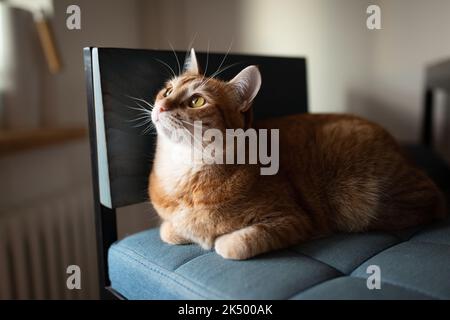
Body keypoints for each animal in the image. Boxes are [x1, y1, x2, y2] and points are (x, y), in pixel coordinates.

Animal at [149, 50, 446, 260]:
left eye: (196, 101)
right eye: (167, 91)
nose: (160, 107)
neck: (184, 173)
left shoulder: (290, 220)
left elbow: (232, 245)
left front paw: (215, 238)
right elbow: (168, 230)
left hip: (362, 202)